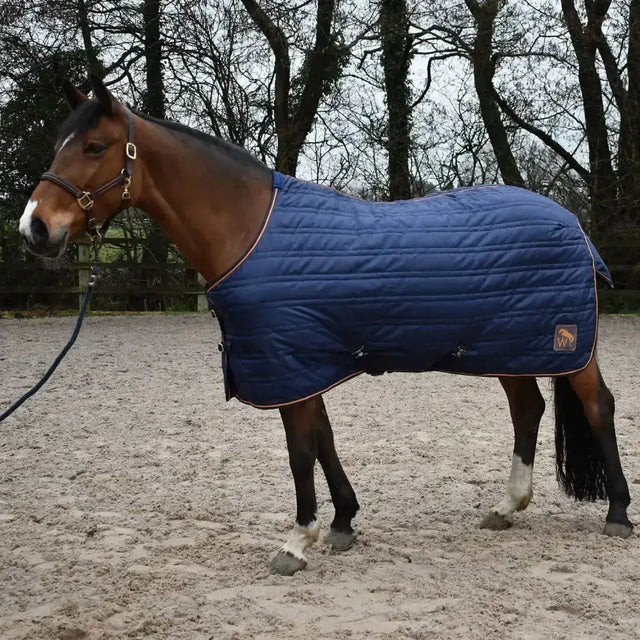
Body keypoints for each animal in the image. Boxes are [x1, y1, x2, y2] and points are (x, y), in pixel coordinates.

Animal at [18, 77, 632, 576]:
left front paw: (297, 541)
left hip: (564, 346)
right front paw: (342, 523)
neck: (250, 230)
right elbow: (323, 440)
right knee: (528, 408)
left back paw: (619, 513)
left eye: (94, 147)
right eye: (58, 144)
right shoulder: (305, 362)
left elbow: (299, 450)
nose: (35, 228)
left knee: (597, 405)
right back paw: (507, 508)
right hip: (510, 347)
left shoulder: (287, 363)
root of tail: (575, 226)